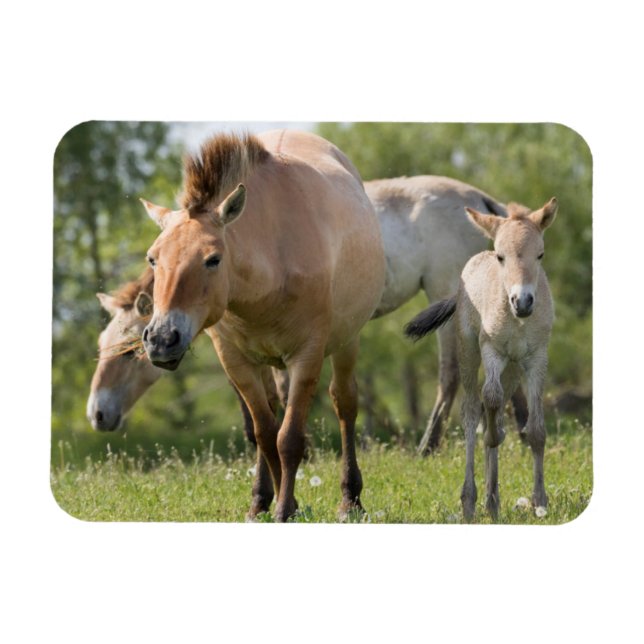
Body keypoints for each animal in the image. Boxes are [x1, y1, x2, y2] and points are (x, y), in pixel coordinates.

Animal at [140, 130, 386, 522]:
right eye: (153, 258)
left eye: (213, 259)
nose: (162, 340)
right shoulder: (236, 362)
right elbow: (266, 433)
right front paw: (281, 503)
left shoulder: (307, 357)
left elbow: (289, 438)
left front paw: (285, 510)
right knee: (270, 414)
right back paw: (262, 499)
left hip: (348, 342)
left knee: (345, 404)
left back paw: (350, 499)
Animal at [405, 197, 558, 520]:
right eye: (501, 257)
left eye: (540, 255)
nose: (523, 302)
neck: (517, 321)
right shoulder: (492, 352)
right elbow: (488, 412)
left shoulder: (537, 359)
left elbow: (536, 431)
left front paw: (540, 503)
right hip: (469, 353)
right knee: (473, 411)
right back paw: (471, 501)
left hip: (512, 370)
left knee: (494, 411)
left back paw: (492, 501)